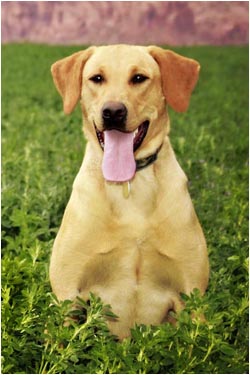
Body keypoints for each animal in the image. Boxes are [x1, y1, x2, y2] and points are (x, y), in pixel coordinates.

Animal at [48, 44, 209, 340]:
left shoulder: (193, 295)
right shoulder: (68, 294)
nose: (113, 112)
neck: (128, 186)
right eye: (97, 78)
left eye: (139, 78)